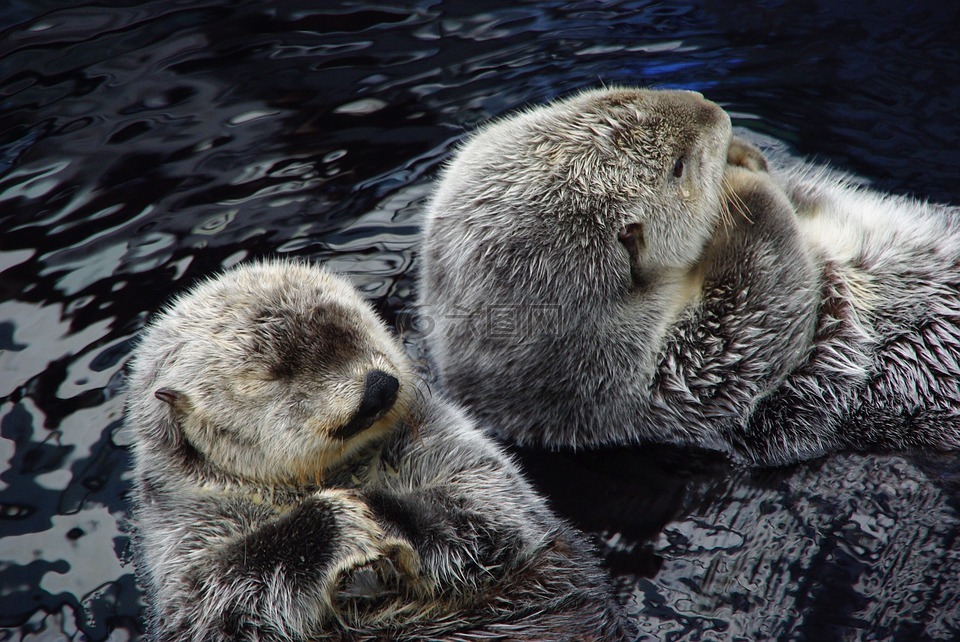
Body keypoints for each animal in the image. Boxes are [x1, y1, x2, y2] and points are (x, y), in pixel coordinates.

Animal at [125, 258, 636, 640]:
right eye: (277, 370)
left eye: (356, 326)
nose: (377, 386)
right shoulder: (181, 535)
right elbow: (213, 604)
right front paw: (334, 524)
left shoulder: (442, 437)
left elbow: (489, 502)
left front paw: (383, 513)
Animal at [418, 86, 960, 464]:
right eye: (678, 167)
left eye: (619, 95)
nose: (713, 107)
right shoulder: (660, 387)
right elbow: (753, 324)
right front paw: (738, 190)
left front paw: (746, 157)